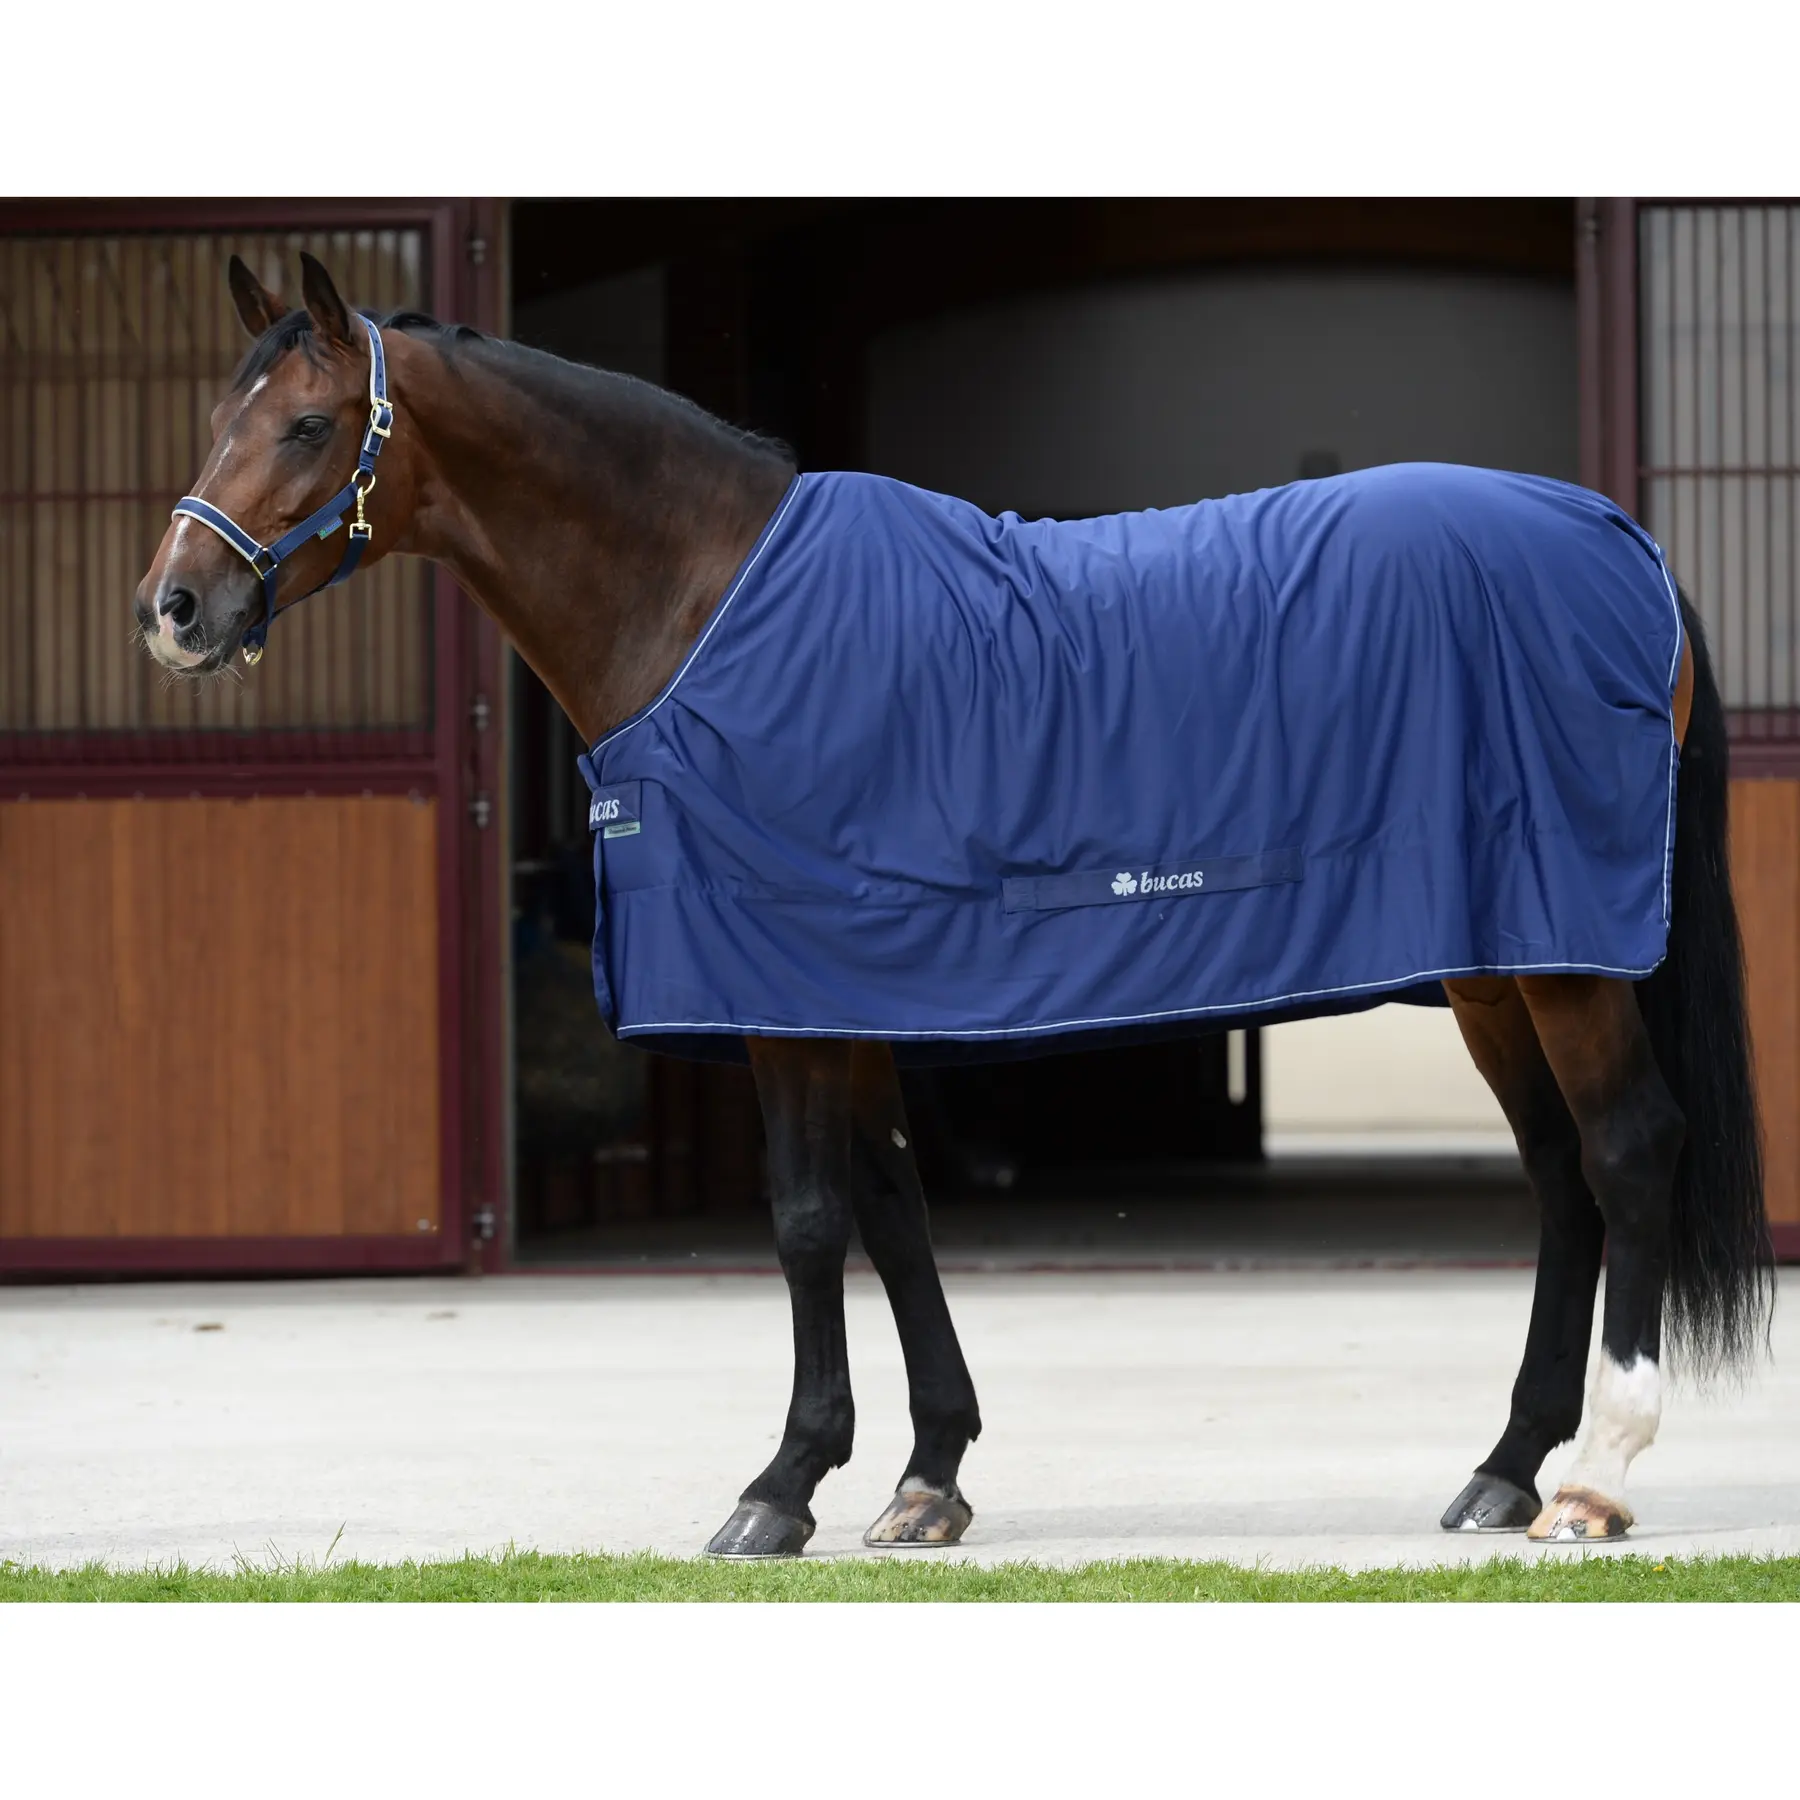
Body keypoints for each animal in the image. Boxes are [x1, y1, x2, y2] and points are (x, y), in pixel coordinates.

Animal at [134, 252, 1773, 1557]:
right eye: (215, 420)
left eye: (307, 424)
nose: (173, 610)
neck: (705, 603)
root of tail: (1622, 542)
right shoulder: (847, 983)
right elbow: (893, 1209)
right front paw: (926, 1478)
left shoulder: (784, 992)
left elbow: (807, 1222)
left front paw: (780, 1487)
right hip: (1504, 963)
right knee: (1560, 1179)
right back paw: (1504, 1471)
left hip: (1566, 964)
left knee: (1630, 1153)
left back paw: (1597, 1482)